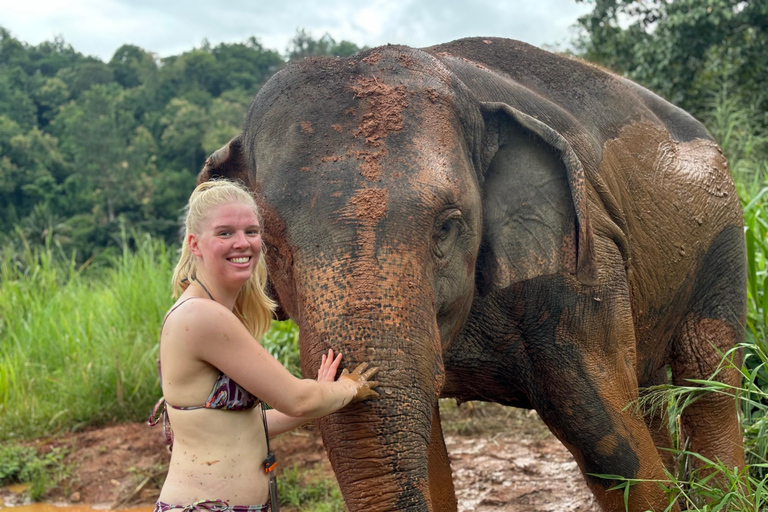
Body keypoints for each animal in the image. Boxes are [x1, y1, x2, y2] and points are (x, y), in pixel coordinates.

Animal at [198, 37, 744, 512]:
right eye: (268, 241)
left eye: (447, 225)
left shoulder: (582, 265)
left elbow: (610, 445)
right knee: (652, 390)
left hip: (723, 235)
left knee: (708, 377)